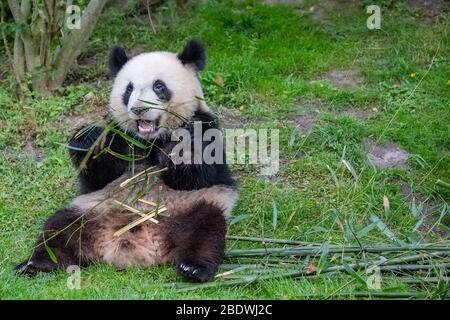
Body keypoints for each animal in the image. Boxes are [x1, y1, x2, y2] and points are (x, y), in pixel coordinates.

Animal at [15, 40, 237, 282]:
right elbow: (99, 175)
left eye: (159, 86)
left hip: (192, 206)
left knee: (206, 230)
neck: (150, 140)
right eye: (129, 89)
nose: (139, 109)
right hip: (89, 211)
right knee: (59, 229)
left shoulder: (205, 126)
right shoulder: (121, 137)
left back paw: (194, 267)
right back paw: (37, 263)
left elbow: (195, 175)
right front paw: (89, 139)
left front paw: (182, 147)